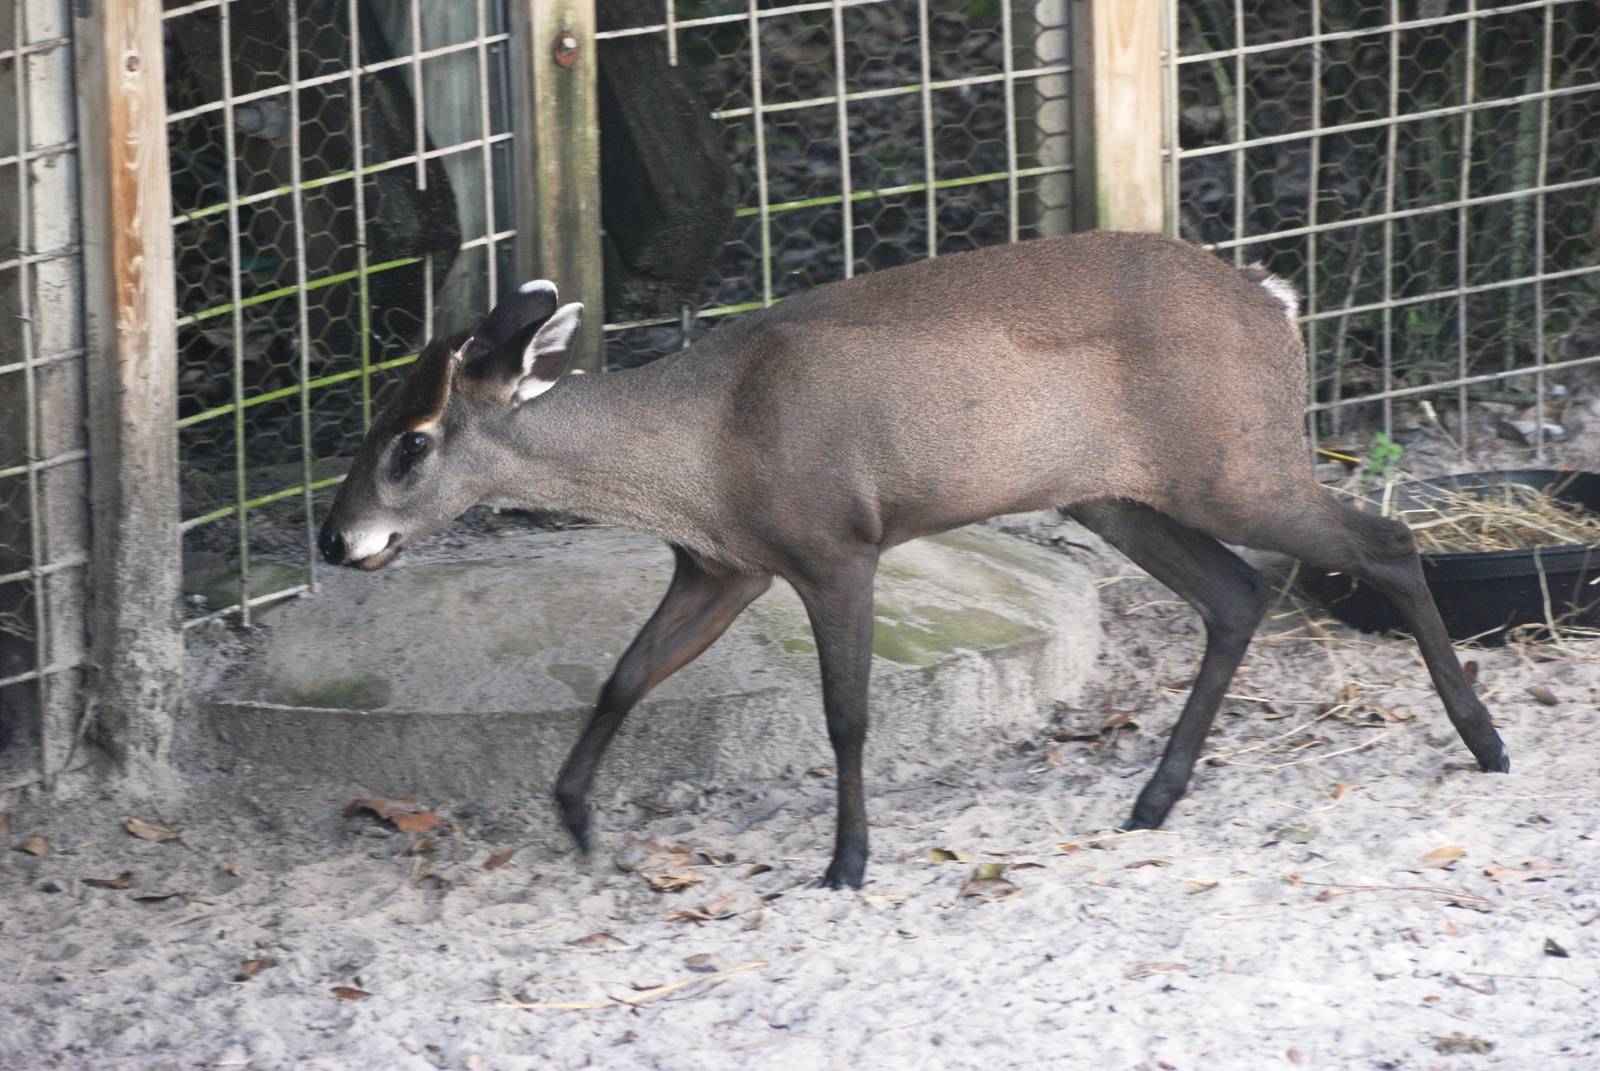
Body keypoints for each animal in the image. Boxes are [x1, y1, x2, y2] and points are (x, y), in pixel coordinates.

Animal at [318, 231, 1510, 890]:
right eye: (372, 418)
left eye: (410, 442)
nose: (336, 538)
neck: (706, 446)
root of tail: (1275, 300)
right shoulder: (722, 565)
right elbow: (623, 673)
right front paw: (574, 817)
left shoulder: (834, 544)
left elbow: (847, 714)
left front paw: (845, 863)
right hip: (1118, 490)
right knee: (1239, 591)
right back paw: (1153, 799)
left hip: (1235, 459)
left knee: (1385, 542)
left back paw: (1484, 741)